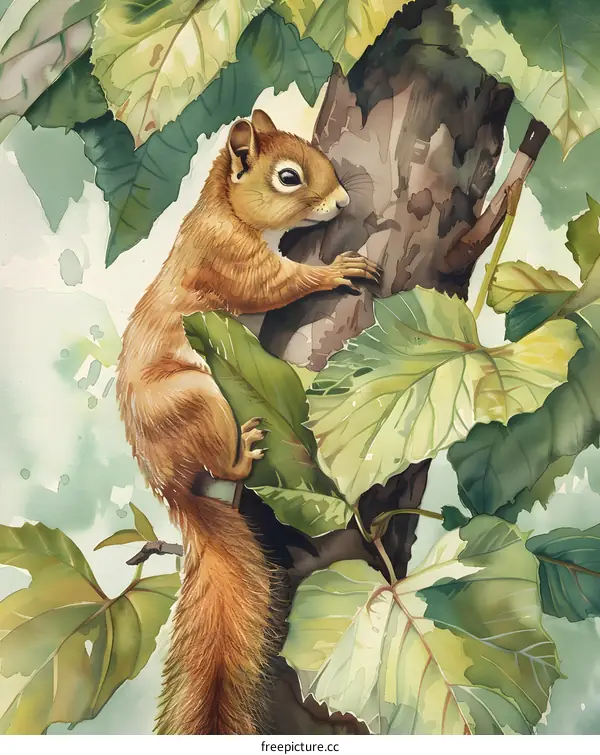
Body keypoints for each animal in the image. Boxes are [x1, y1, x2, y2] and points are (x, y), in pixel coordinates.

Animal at [116, 109, 379, 735]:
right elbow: (276, 284)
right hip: (199, 398)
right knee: (219, 458)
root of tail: (169, 484)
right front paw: (336, 269)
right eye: (287, 177)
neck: (224, 211)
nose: (341, 202)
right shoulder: (230, 259)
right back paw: (245, 451)